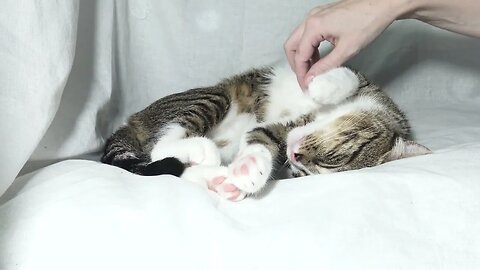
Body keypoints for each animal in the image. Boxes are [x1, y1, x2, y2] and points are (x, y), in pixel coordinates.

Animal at [101, 63, 432, 200]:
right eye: (333, 157)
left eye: (301, 174)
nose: (294, 156)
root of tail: (131, 122)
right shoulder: (363, 83)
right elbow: (346, 75)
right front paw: (323, 87)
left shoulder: (282, 132)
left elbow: (264, 137)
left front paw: (248, 171)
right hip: (212, 97)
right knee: (162, 144)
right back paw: (201, 150)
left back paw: (221, 179)